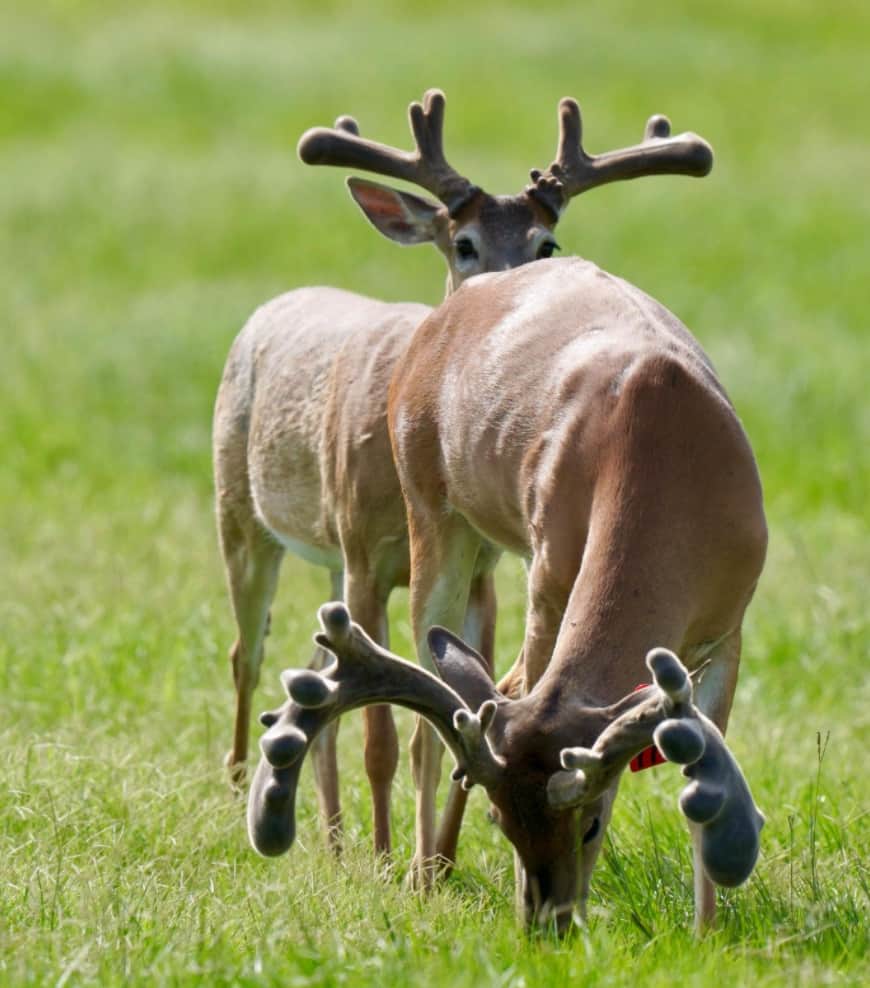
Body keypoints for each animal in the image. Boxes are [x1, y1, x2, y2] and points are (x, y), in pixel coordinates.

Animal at [214, 90, 715, 869]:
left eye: (546, 244)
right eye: (464, 242)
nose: (512, 293)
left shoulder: (480, 572)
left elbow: (468, 703)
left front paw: (438, 861)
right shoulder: (365, 553)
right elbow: (387, 731)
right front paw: (387, 857)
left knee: (312, 665)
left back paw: (330, 836)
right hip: (244, 515)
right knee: (248, 651)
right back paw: (245, 786)